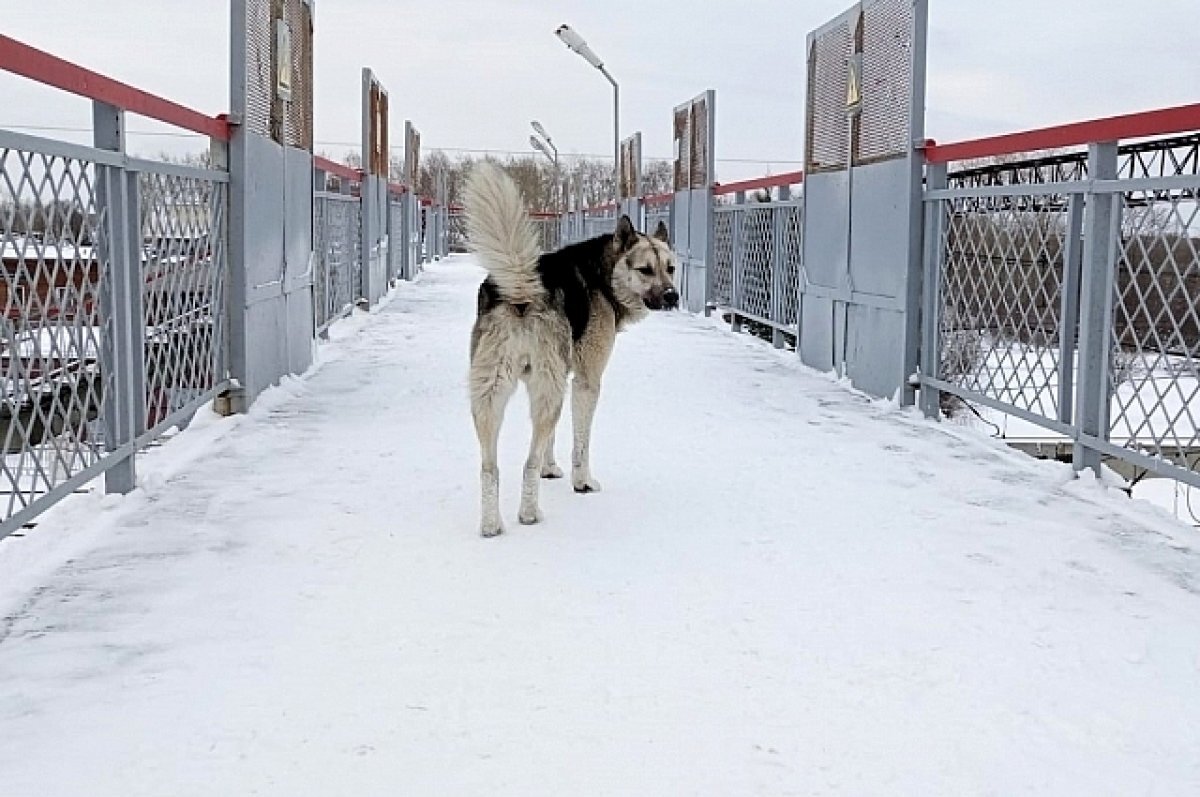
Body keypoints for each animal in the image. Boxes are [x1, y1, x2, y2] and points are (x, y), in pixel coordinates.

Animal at [465, 160, 681, 535]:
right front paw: (582, 482)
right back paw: (529, 514)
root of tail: (522, 291)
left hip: (491, 395)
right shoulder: (585, 381)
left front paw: (551, 469)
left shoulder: (548, 380)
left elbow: (550, 439)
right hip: (541, 392)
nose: (672, 296)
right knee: (526, 463)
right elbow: (581, 443)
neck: (603, 275)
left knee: (489, 467)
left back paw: (492, 524)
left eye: (670, 268)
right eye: (645, 270)